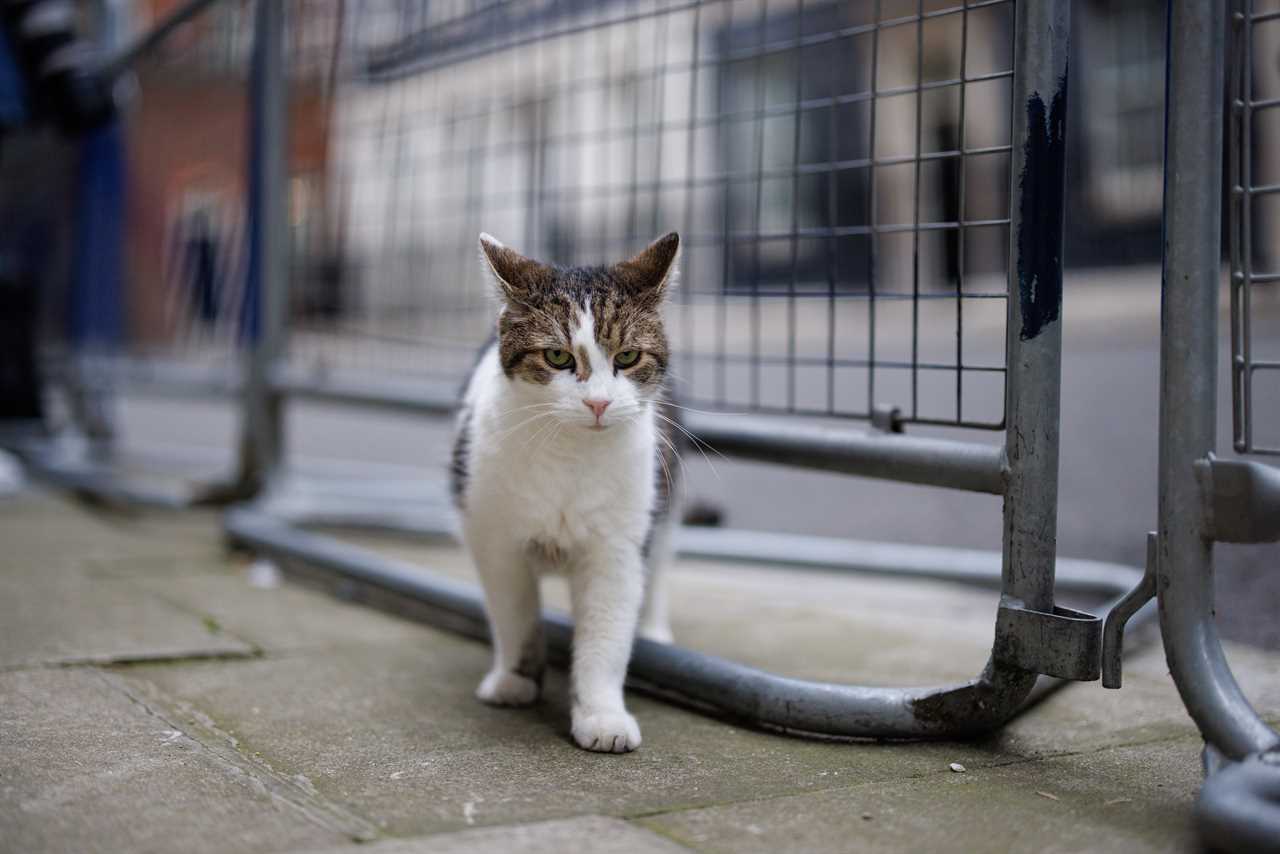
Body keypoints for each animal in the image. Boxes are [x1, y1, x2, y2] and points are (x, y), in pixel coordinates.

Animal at [455, 230, 686, 752]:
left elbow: (606, 635)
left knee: (662, 560)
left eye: (627, 357)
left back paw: (656, 629)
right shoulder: (495, 538)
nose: (598, 403)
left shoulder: (617, 547)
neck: (571, 453)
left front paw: (602, 716)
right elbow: (515, 616)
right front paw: (515, 680)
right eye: (558, 356)